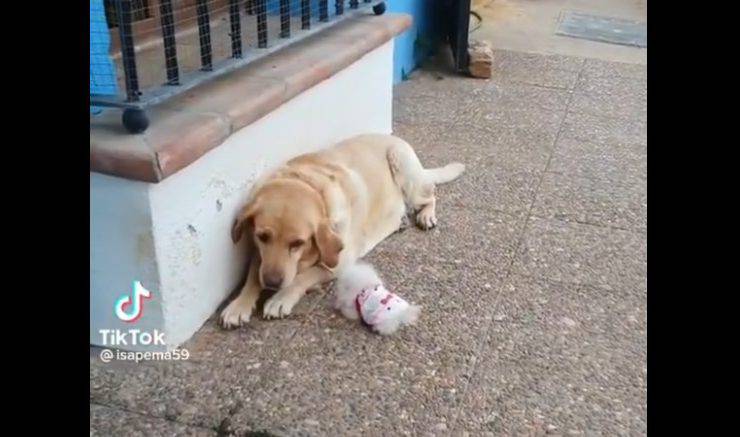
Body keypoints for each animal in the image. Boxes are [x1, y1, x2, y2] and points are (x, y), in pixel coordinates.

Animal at [220, 133, 464, 328]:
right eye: (262, 236)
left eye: (297, 243)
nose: (271, 283)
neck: (310, 186)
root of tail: (392, 136)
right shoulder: (260, 255)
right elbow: (253, 275)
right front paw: (239, 305)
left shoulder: (339, 262)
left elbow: (303, 277)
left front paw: (281, 298)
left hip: (405, 170)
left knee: (430, 194)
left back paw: (426, 215)